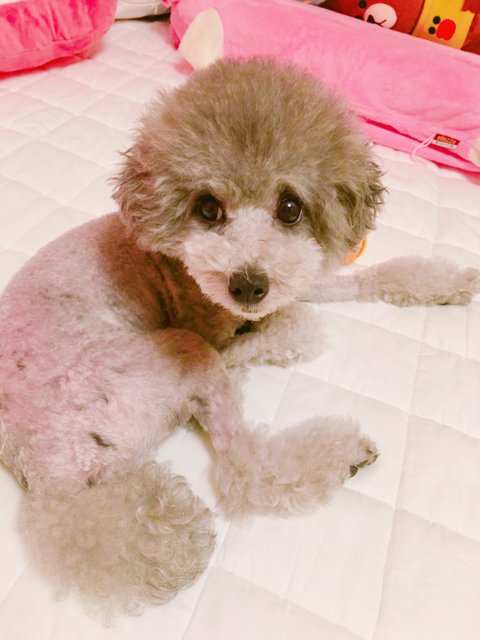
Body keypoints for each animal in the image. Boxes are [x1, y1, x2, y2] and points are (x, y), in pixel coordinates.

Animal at [0, 58, 478, 615]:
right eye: (208, 208)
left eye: (291, 207)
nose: (247, 285)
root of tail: (53, 483)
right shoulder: (211, 322)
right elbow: (286, 325)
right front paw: (289, 332)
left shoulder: (296, 278)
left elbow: (369, 278)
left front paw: (444, 283)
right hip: (175, 352)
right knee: (245, 470)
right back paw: (338, 447)